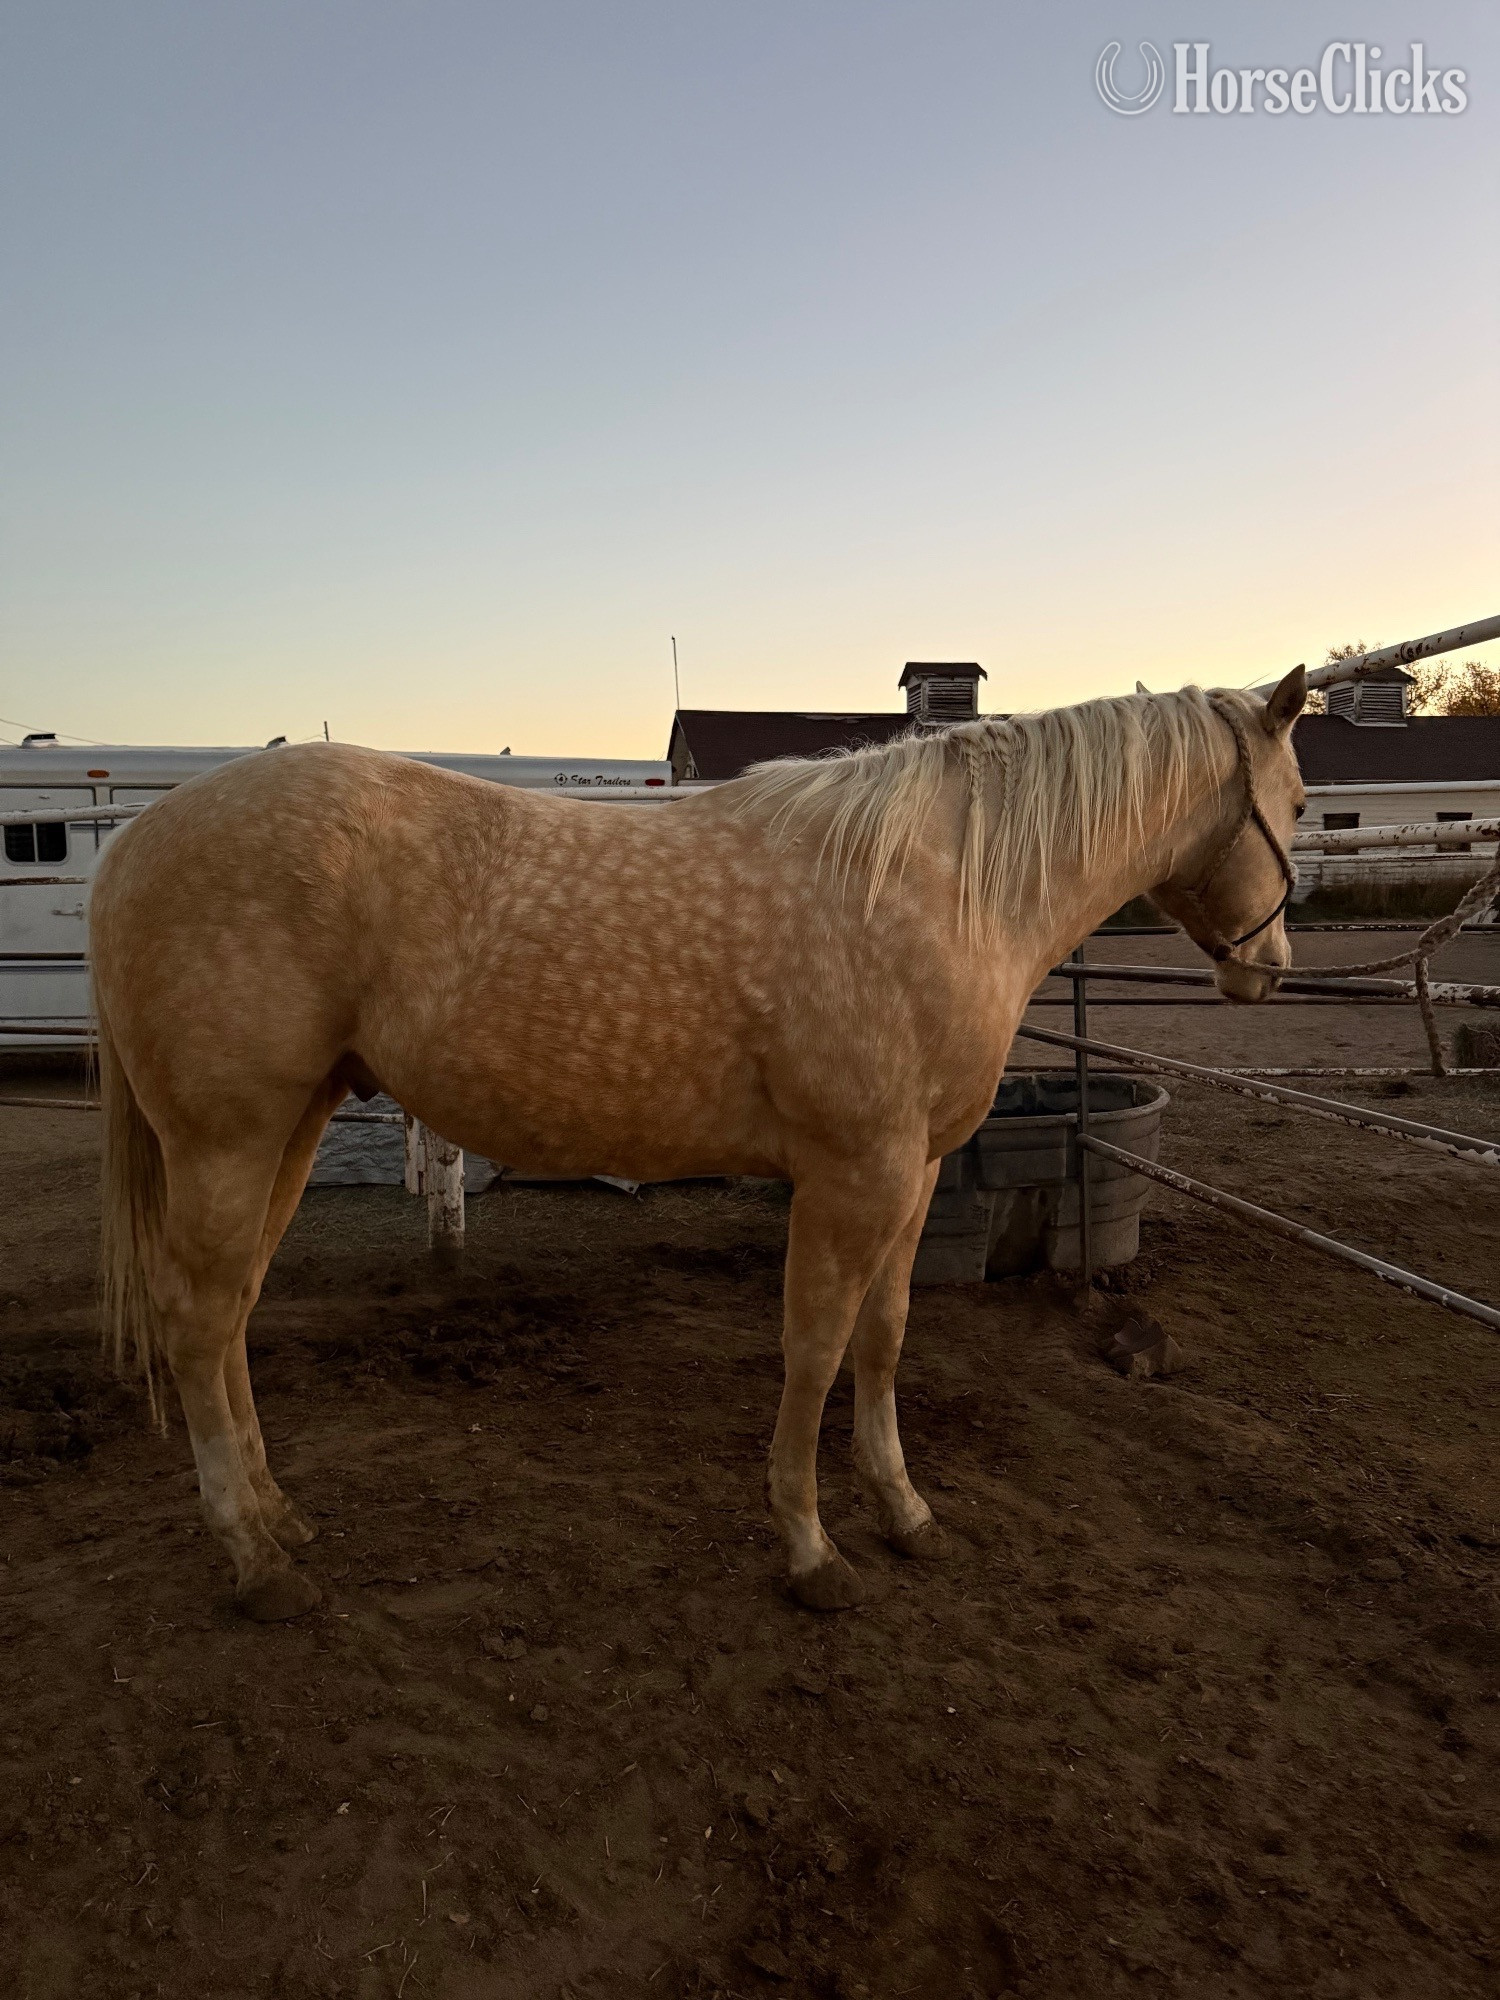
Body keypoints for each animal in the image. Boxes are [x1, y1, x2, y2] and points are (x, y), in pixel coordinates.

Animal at [89, 669, 1307, 1619]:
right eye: (1297, 800)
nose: (1273, 969)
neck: (937, 885)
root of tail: (134, 841)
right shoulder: (850, 1175)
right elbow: (813, 1348)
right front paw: (811, 1550)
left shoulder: (912, 1174)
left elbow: (884, 1339)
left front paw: (904, 1510)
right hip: (227, 1138)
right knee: (199, 1319)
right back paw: (254, 1562)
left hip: (288, 1128)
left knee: (231, 1314)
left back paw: (279, 1518)